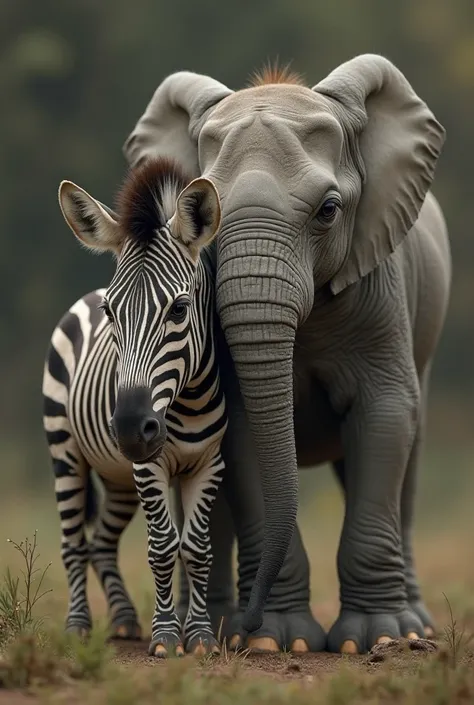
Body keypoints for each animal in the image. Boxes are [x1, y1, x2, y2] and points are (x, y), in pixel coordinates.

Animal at [43, 157, 229, 656]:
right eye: (112, 314)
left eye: (180, 309)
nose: (128, 427)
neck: (185, 402)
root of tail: (83, 296)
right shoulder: (150, 465)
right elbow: (163, 546)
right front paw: (165, 638)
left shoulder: (210, 461)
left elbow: (197, 547)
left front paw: (199, 637)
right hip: (65, 450)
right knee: (73, 543)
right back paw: (78, 627)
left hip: (119, 476)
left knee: (102, 543)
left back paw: (125, 621)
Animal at [121, 56, 448, 656]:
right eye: (203, 222)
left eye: (328, 211)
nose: (250, 624)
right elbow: (242, 431)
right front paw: (277, 642)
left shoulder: (380, 295)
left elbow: (385, 417)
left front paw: (374, 639)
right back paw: (214, 625)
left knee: (409, 466)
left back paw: (417, 628)